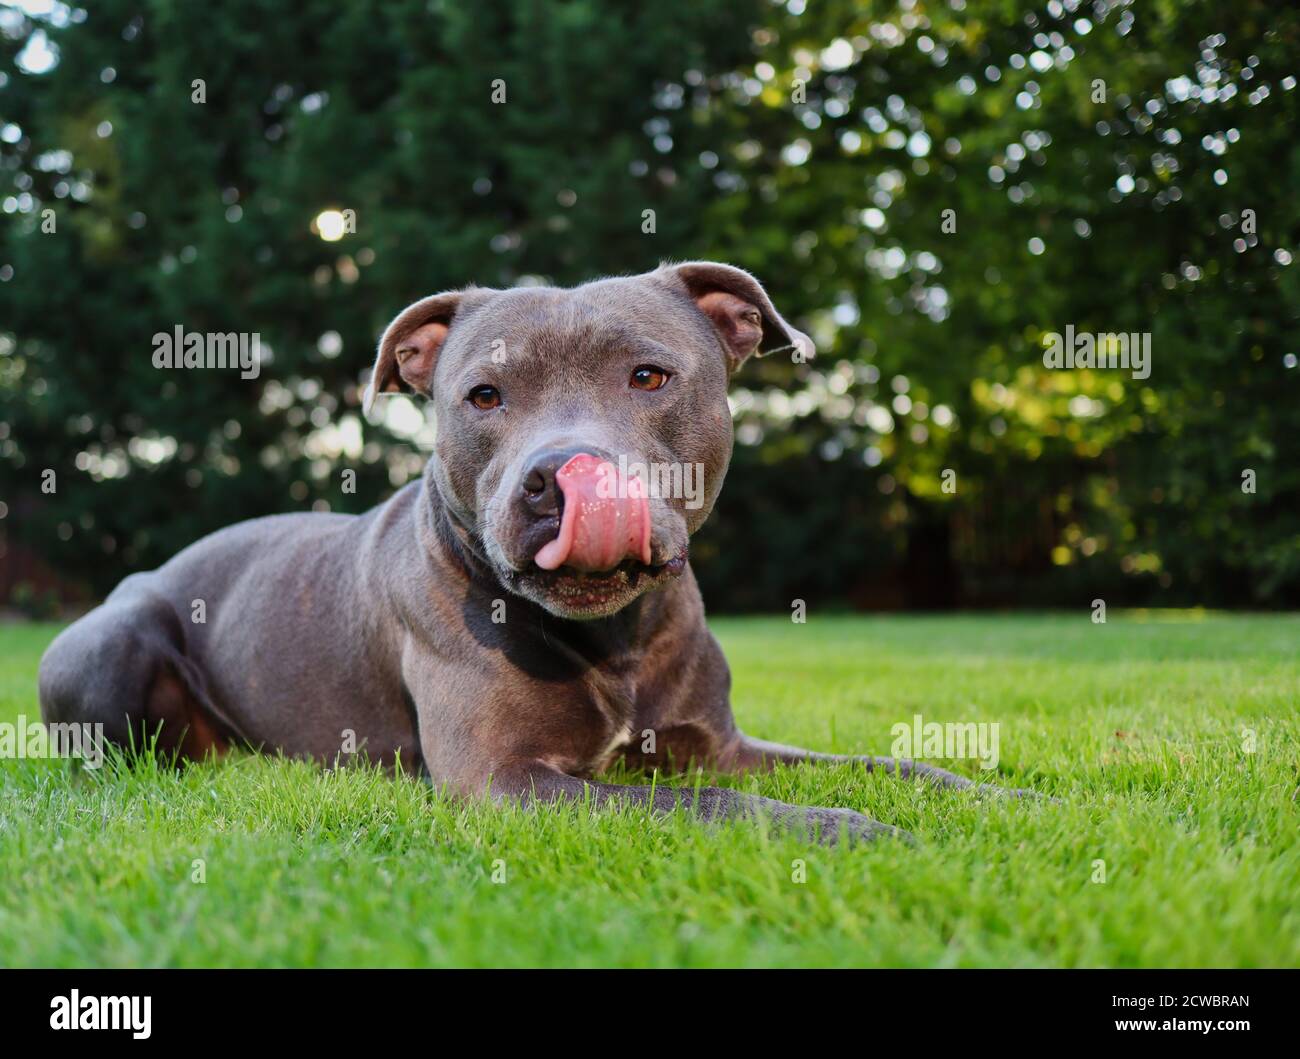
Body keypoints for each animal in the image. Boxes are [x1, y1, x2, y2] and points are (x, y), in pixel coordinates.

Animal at [38, 262, 1024, 847]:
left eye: (650, 376)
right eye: (483, 395)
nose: (559, 477)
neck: (617, 639)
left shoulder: (722, 744)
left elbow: (894, 765)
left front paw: (1006, 801)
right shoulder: (505, 779)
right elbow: (701, 803)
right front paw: (851, 829)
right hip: (110, 641)